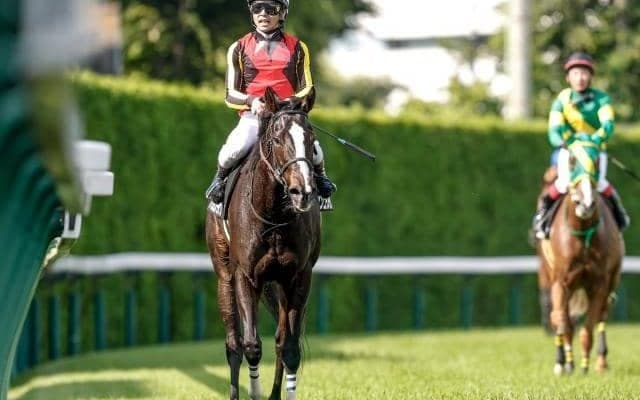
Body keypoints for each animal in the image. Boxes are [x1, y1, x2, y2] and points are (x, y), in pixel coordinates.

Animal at [205, 86, 321, 400]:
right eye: (277, 139)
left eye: (311, 141)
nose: (303, 191)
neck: (274, 216)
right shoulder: (245, 276)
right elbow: (252, 345)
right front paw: (254, 392)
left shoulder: (298, 276)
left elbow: (289, 346)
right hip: (224, 275)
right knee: (233, 344)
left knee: (281, 339)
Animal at [536, 135, 624, 375]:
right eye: (572, 160)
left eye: (596, 161)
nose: (585, 203)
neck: (582, 230)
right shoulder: (559, 281)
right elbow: (562, 321)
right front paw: (565, 363)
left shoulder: (599, 283)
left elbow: (588, 328)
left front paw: (584, 365)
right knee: (559, 316)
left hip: (613, 277)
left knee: (603, 313)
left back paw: (601, 362)